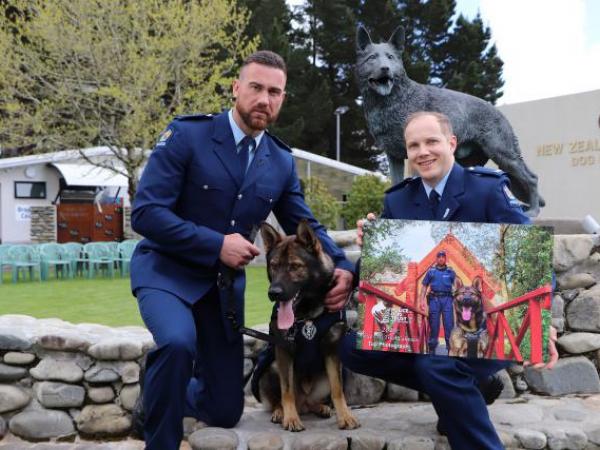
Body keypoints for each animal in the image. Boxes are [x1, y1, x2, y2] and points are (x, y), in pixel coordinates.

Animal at [255, 221, 358, 432]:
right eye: (273, 266)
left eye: (295, 266)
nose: (273, 293)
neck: (307, 315)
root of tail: (303, 402)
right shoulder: (284, 351)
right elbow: (286, 392)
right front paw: (290, 418)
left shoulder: (332, 351)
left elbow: (337, 390)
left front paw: (345, 416)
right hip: (272, 366)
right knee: (283, 399)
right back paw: (280, 412)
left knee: (312, 402)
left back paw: (320, 407)